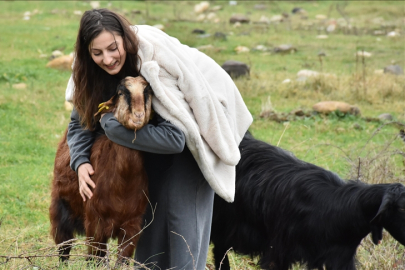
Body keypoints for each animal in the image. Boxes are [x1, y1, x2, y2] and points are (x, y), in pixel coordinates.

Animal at [49, 75, 153, 264]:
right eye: (121, 92)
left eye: (148, 92)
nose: (138, 115)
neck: (123, 184)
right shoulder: (94, 224)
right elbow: (94, 259)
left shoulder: (133, 225)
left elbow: (122, 260)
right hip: (59, 208)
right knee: (63, 247)